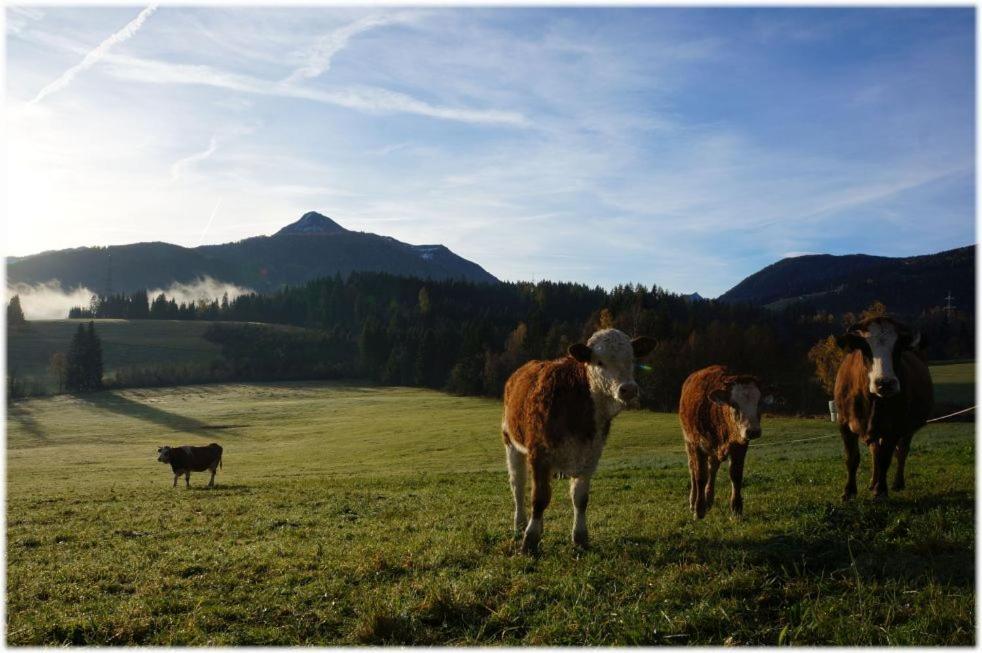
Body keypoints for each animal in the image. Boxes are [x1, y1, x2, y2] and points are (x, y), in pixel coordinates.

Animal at [504, 328, 656, 552]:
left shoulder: (590, 454)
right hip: (511, 443)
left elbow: (580, 498)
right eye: (599, 361)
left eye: (631, 359)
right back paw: (520, 524)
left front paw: (580, 538)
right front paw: (529, 540)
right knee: (518, 485)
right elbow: (539, 498)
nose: (628, 389)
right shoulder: (539, 454)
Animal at [680, 366, 772, 520]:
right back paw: (693, 501)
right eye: (734, 404)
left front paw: (736, 508)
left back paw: (709, 498)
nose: (753, 431)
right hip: (689, 443)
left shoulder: (740, 445)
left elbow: (735, 475)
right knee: (693, 469)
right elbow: (700, 476)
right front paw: (699, 510)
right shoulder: (698, 445)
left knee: (712, 469)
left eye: (759, 403)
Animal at [836, 316, 936, 500]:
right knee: (875, 451)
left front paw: (881, 490)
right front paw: (849, 491)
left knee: (901, 451)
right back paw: (872, 482)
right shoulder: (844, 422)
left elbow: (885, 459)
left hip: (907, 428)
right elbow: (852, 458)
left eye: (898, 348)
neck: (872, 402)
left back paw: (896, 483)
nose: (885, 383)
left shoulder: (894, 427)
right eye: (865, 348)